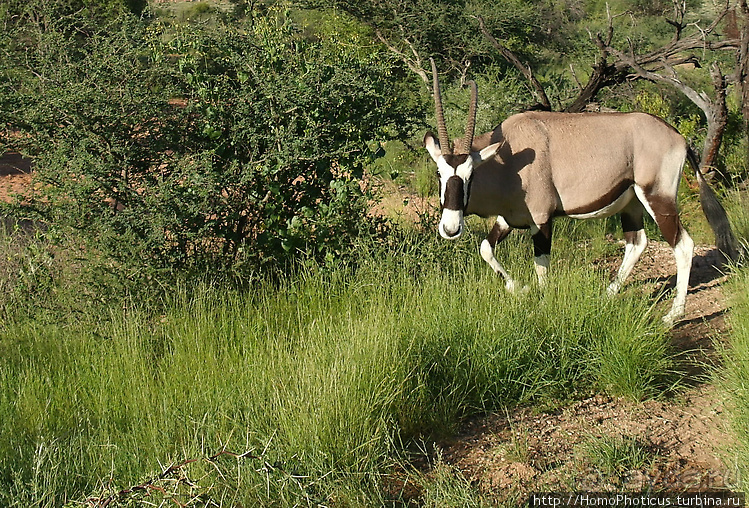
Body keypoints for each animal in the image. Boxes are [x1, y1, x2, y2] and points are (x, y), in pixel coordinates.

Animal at [426, 57, 736, 324]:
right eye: (440, 173)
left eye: (471, 175)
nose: (451, 228)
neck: (509, 159)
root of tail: (680, 138)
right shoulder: (510, 218)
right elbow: (486, 249)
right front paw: (518, 288)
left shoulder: (541, 220)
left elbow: (541, 267)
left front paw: (541, 305)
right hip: (632, 204)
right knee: (637, 243)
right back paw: (608, 295)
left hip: (658, 199)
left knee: (682, 245)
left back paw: (674, 315)